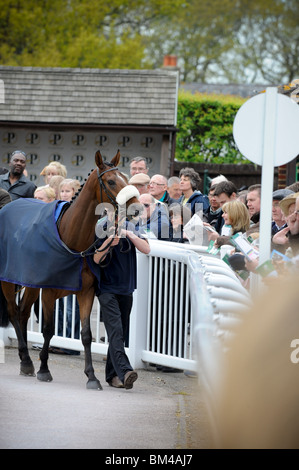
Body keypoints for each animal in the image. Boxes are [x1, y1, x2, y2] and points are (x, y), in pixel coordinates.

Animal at [0, 150, 141, 390]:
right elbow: (48, 329)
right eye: (112, 181)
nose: (138, 207)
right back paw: (27, 361)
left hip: (30, 283)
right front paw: (44, 369)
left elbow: (85, 334)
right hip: (7, 281)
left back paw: (25, 360)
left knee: (22, 313)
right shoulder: (48, 291)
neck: (71, 241)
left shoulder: (86, 292)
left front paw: (92, 376)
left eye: (125, 177)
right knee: (12, 311)